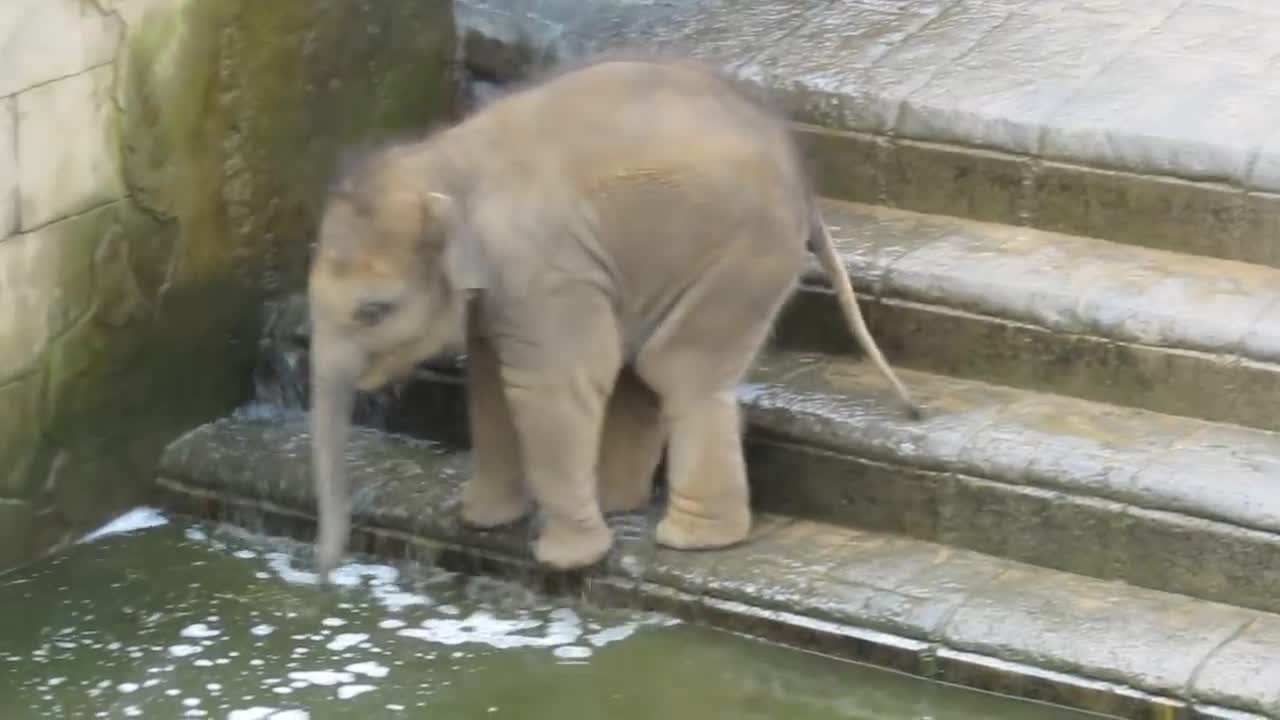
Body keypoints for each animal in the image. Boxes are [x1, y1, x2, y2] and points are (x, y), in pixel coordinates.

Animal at [304, 56, 916, 576]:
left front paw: (565, 559)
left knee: (678, 368)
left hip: (745, 255)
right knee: (646, 367)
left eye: (374, 310)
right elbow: (490, 380)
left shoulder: (545, 269)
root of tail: (806, 187)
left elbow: (547, 385)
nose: (327, 573)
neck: (441, 162)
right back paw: (618, 504)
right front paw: (481, 521)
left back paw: (690, 540)